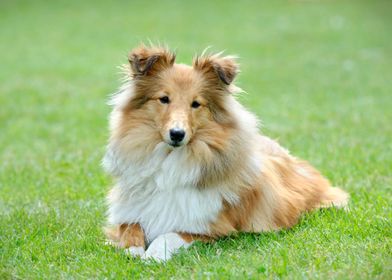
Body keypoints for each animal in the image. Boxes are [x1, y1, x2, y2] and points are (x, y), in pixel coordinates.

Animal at [102, 44, 350, 262]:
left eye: (196, 104)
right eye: (164, 99)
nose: (177, 134)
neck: (171, 161)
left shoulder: (212, 228)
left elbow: (169, 234)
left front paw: (152, 255)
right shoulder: (131, 211)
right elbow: (131, 227)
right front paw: (132, 251)